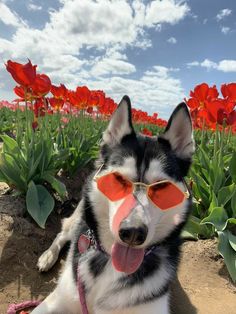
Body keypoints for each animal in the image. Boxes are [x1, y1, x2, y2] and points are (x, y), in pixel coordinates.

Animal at [33, 95, 195, 314]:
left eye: (162, 187)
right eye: (118, 179)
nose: (133, 232)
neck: (111, 264)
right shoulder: (59, 299)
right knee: (63, 232)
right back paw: (47, 257)